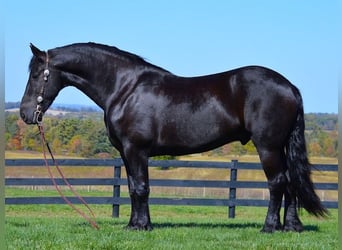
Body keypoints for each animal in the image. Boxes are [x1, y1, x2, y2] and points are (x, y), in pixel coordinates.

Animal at [20, 42, 328, 232]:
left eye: (36, 74)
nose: (25, 114)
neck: (124, 87)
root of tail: (289, 87)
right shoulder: (126, 153)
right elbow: (132, 188)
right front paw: (134, 224)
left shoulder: (136, 150)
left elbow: (141, 188)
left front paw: (142, 226)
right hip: (280, 147)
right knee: (290, 183)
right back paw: (291, 226)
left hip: (268, 146)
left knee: (277, 183)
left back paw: (269, 227)